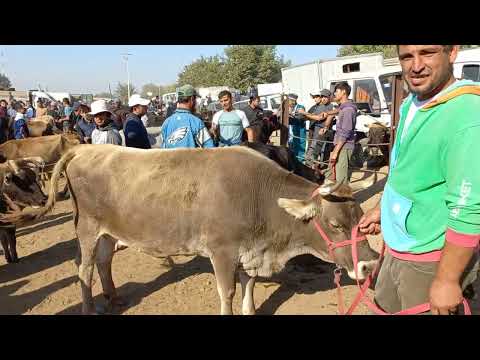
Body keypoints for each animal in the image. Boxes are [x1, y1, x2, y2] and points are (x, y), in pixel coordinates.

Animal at [5, 145, 378, 314]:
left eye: (360, 217)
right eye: (334, 224)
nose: (370, 265)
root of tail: (86, 147)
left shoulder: (250, 251)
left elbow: (249, 285)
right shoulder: (222, 251)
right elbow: (228, 291)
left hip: (110, 230)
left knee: (104, 261)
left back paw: (113, 296)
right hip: (86, 228)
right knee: (83, 269)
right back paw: (90, 307)